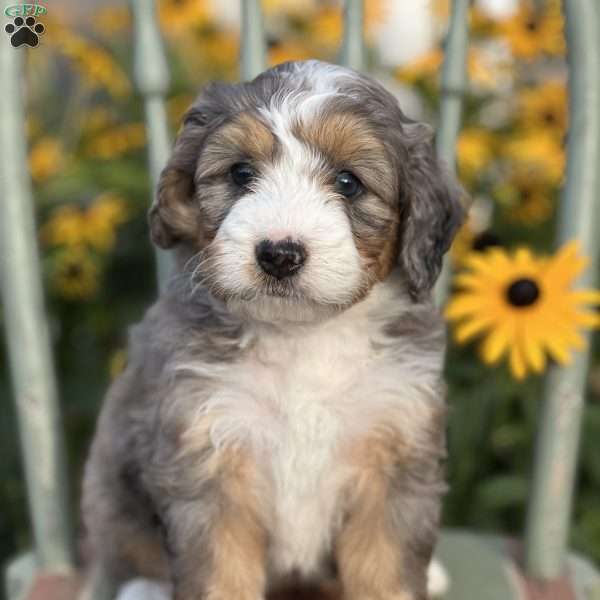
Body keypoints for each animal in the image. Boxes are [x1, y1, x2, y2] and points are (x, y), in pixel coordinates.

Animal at [81, 59, 464, 600]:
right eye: (241, 173)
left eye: (348, 183)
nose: (279, 253)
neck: (303, 337)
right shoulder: (207, 457)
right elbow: (217, 574)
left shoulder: (395, 452)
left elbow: (387, 569)